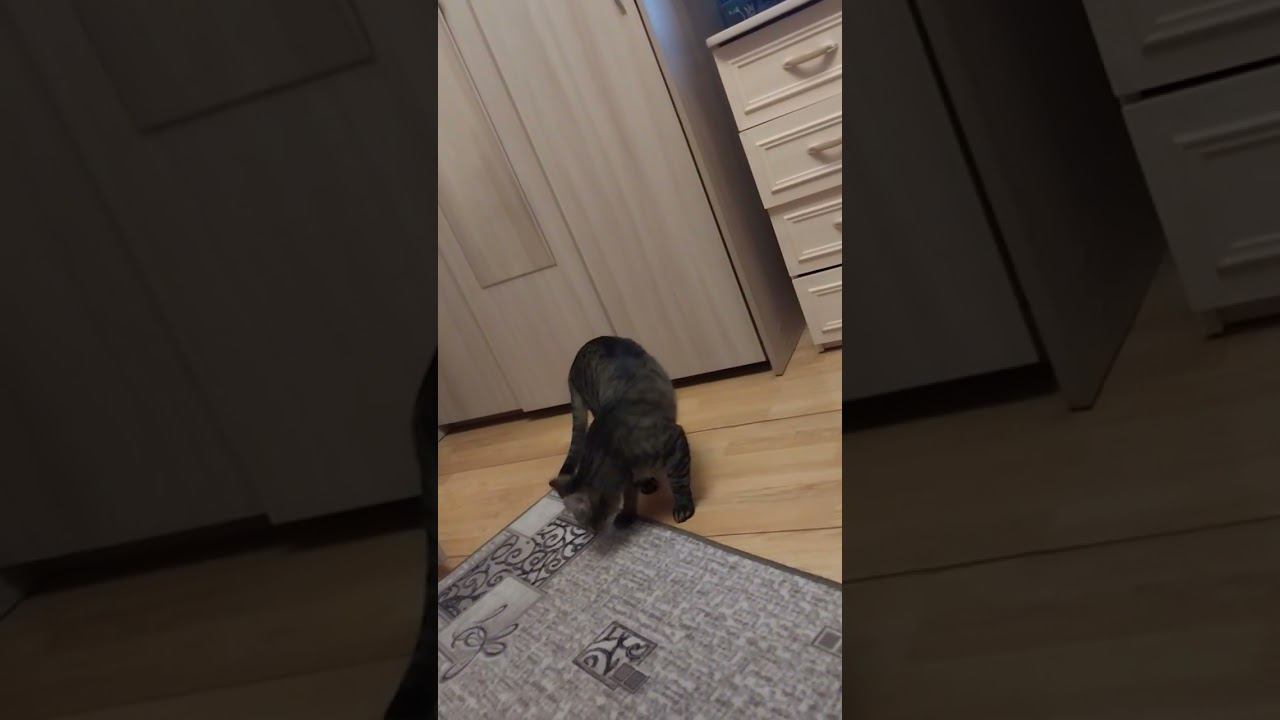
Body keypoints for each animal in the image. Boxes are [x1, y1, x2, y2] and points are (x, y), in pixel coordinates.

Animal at [549, 336, 694, 532]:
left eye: (584, 523)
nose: (593, 532)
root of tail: (573, 368)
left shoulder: (673, 440)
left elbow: (678, 480)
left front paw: (682, 505)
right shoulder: (626, 477)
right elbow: (630, 494)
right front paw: (627, 514)